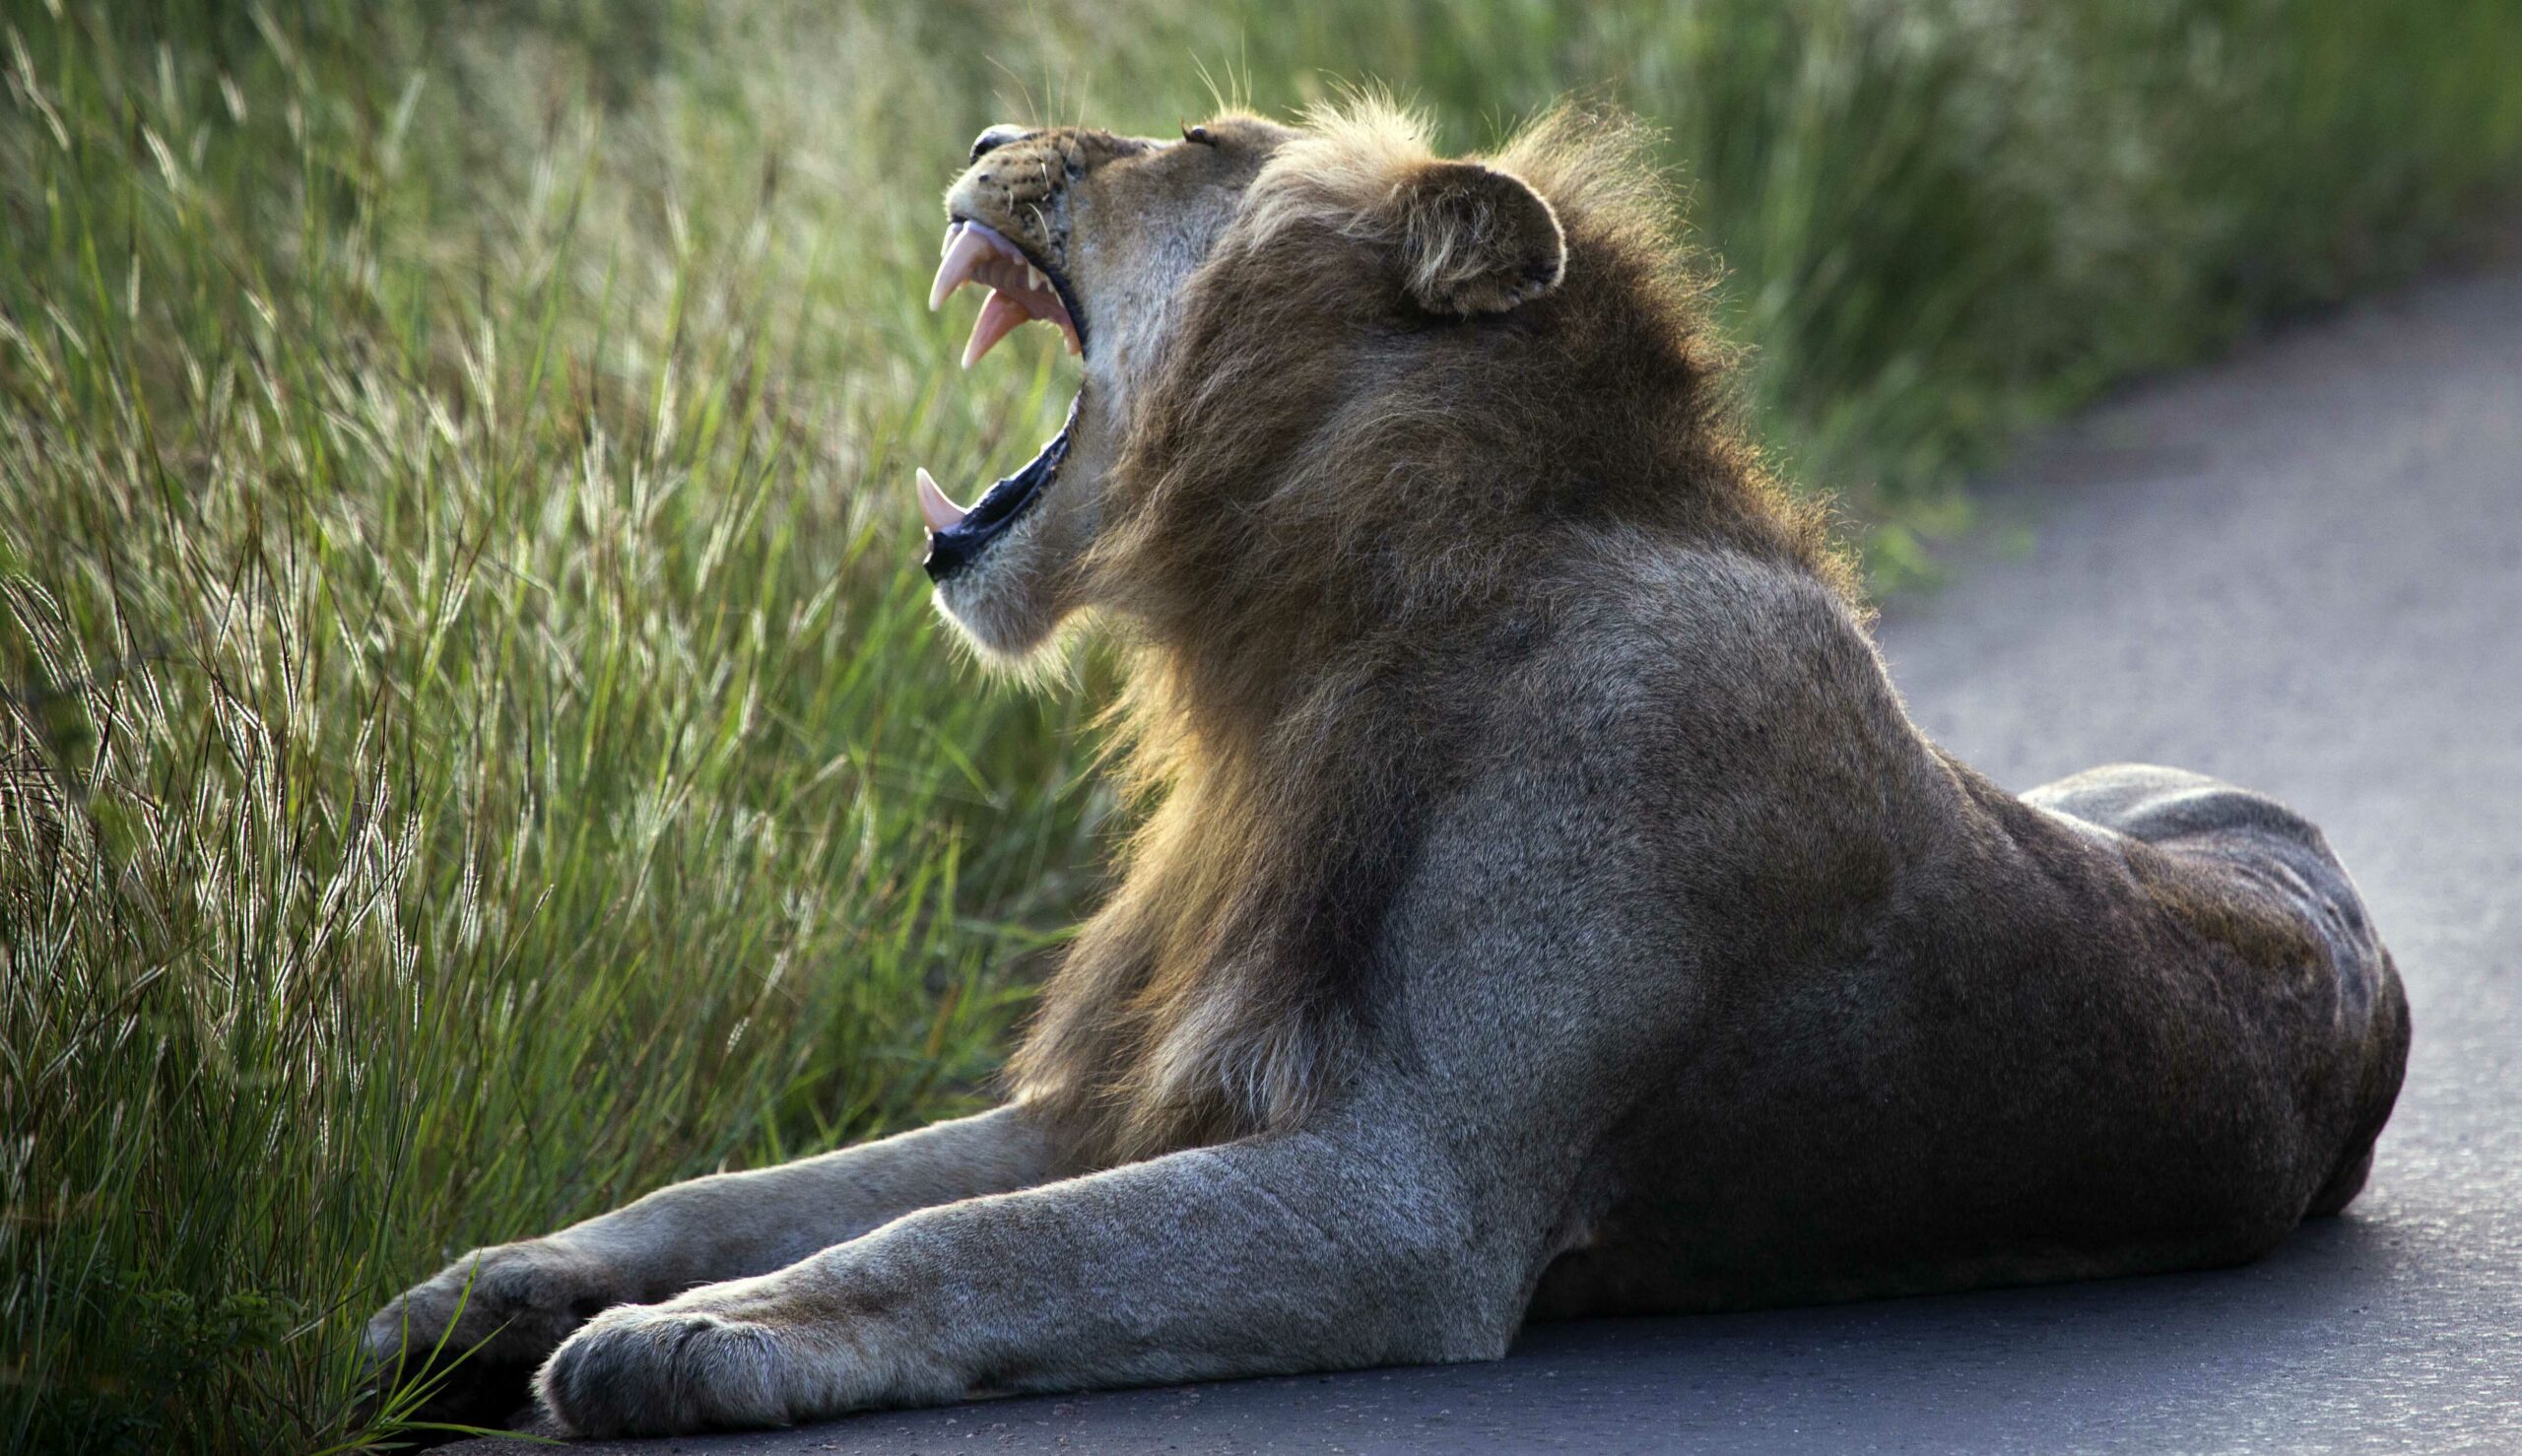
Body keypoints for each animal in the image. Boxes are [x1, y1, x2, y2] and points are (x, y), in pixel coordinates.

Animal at [365, 102, 2410, 1438]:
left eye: (1190, 143)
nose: (990, 125)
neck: (1302, 641)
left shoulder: (1409, 1194)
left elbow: (971, 1241)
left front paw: (692, 1335)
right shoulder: (1146, 1079)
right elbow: (776, 1178)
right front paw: (490, 1285)